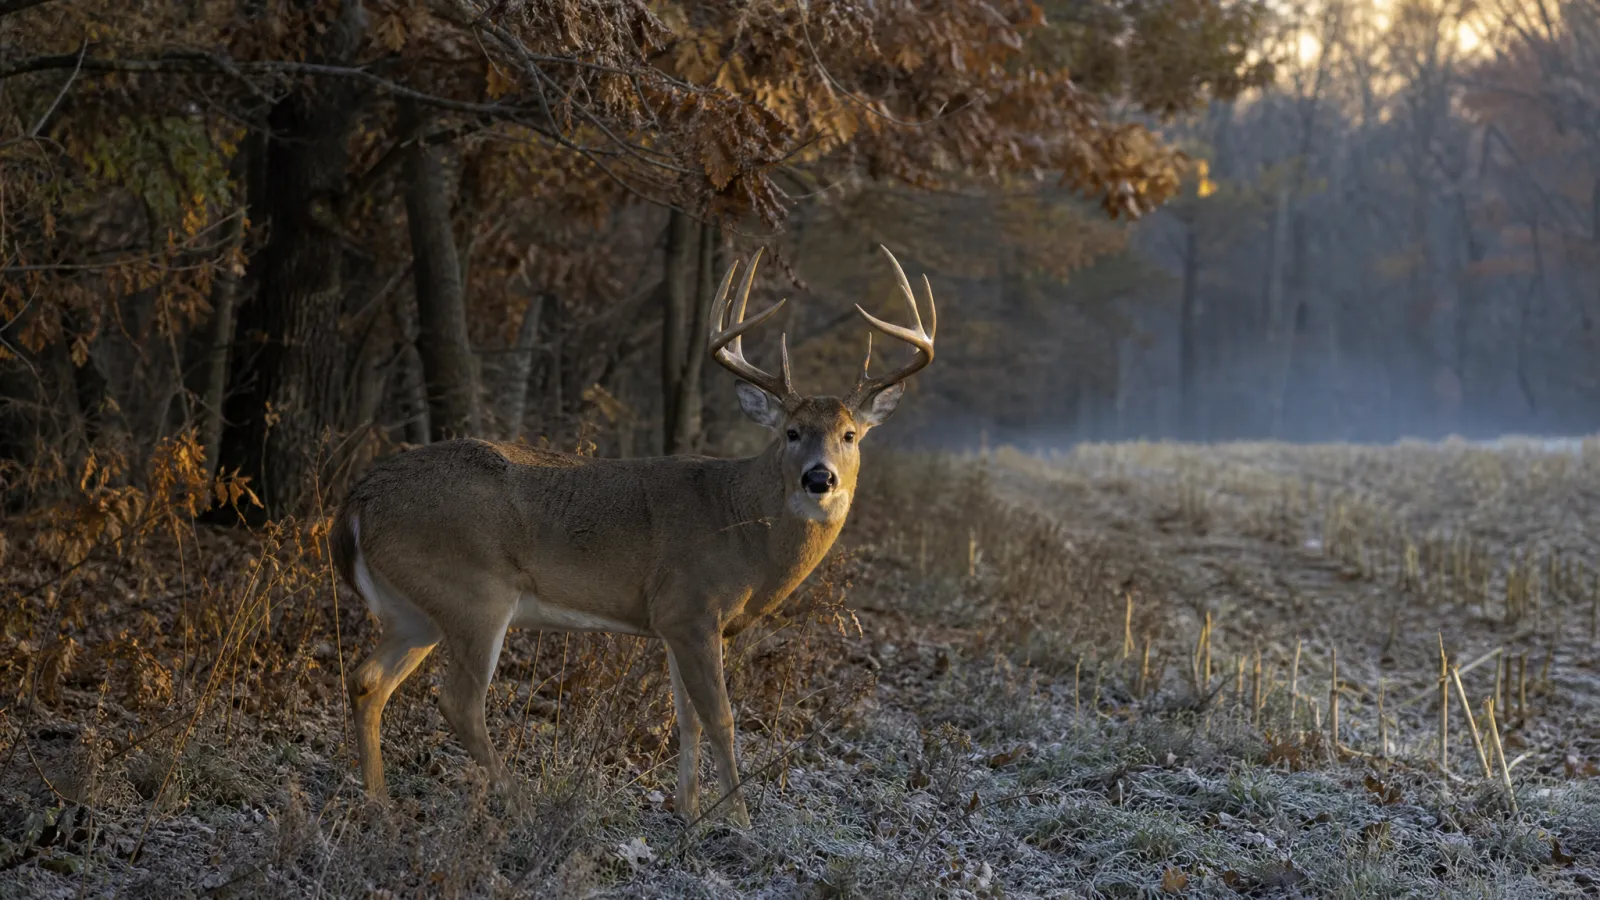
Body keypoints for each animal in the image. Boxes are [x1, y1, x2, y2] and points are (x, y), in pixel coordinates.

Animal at [330, 245, 936, 827]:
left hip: (416, 611)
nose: (819, 477)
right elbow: (721, 718)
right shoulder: (691, 607)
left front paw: (688, 812)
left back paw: (380, 803)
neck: (744, 527)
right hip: (473, 593)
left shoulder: (674, 623)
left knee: (366, 680)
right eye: (791, 432)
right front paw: (738, 820)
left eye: (850, 434)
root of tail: (356, 502)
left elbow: (686, 719)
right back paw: (520, 807)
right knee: (457, 701)